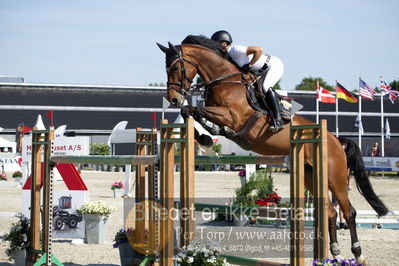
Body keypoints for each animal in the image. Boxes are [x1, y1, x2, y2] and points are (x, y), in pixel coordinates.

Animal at [159, 35, 388, 264]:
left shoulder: (232, 115)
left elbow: (196, 110)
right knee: (330, 211)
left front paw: (208, 134)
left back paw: (358, 254)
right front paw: (206, 136)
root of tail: (336, 140)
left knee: (349, 212)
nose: (173, 98)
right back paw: (334, 252)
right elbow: (191, 111)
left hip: (335, 178)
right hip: (311, 175)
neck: (224, 80)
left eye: (175, 68)